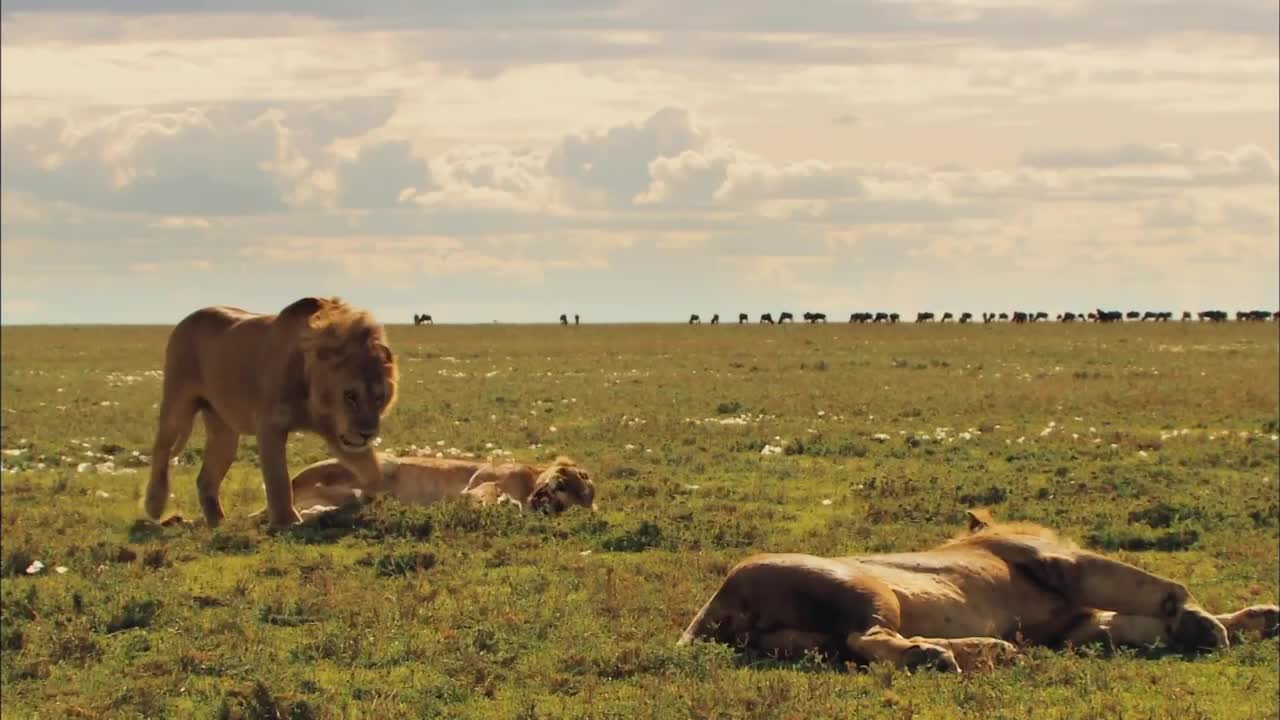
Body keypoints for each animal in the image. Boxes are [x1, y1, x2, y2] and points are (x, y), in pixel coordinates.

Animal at [142, 295, 396, 527]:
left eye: (379, 397)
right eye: (350, 395)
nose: (367, 434)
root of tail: (188, 318)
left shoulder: (338, 433)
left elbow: (372, 471)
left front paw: (369, 494)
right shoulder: (269, 425)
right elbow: (278, 479)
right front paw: (287, 522)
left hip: (224, 432)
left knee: (205, 478)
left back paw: (218, 523)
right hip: (178, 403)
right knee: (161, 449)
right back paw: (154, 505)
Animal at [675, 507, 1274, 671]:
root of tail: (717, 602)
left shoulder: (1075, 626)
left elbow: (1133, 623)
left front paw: (1259, 618)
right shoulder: (1064, 564)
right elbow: (1157, 584)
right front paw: (1204, 623)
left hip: (803, 642)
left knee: (854, 647)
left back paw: (987, 649)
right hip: (865, 590)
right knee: (866, 639)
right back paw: (933, 657)